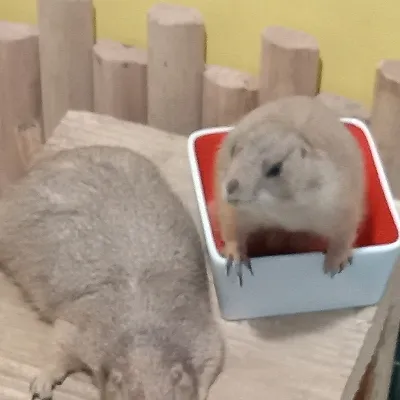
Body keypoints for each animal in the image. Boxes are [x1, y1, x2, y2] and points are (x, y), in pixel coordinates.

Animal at [0, 145, 224, 400]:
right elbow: (59, 344)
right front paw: (42, 382)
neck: (144, 333)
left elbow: (214, 355)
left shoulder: (199, 332)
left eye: (173, 395)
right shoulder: (84, 331)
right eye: (131, 396)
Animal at [214, 95, 365, 286]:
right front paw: (235, 258)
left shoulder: (339, 200)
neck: (283, 208)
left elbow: (345, 231)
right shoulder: (235, 210)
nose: (230, 188)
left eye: (276, 168)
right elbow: (231, 226)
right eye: (234, 149)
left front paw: (334, 265)